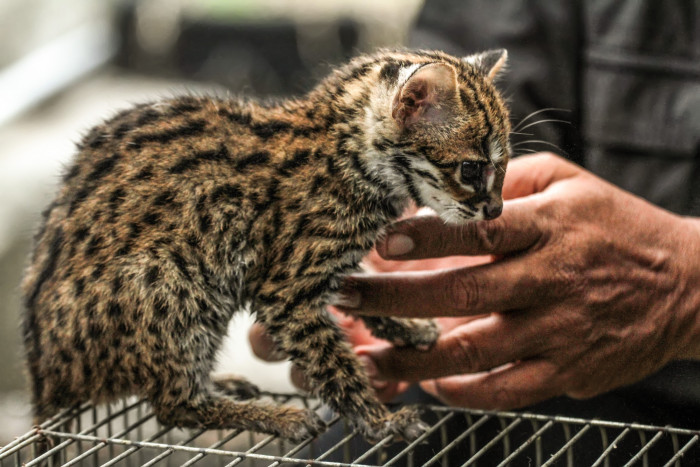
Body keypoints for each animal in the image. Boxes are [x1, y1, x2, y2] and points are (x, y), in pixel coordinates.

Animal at [23, 49, 508, 444]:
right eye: (471, 169)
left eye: (501, 168)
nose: (496, 209)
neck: (344, 155)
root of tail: (46, 379)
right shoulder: (286, 292)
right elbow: (335, 366)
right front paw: (379, 421)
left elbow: (358, 287)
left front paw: (405, 326)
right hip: (171, 282)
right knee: (173, 406)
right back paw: (269, 415)